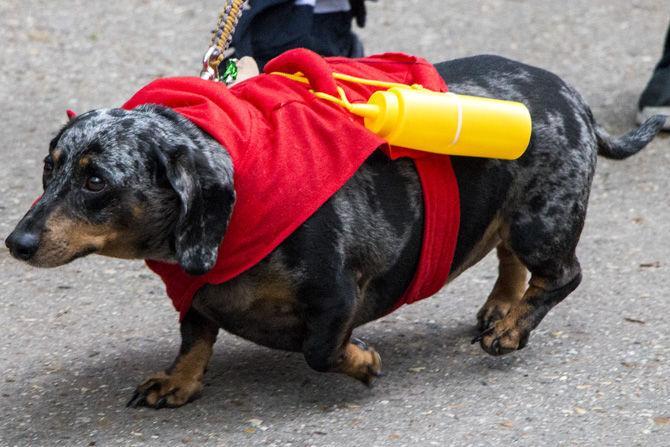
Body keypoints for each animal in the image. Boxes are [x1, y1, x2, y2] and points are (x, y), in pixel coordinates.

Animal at [5, 54, 668, 408]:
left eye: (96, 180)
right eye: (49, 166)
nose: (16, 243)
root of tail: (574, 98)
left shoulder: (335, 293)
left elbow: (319, 350)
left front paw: (364, 361)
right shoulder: (195, 295)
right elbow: (195, 337)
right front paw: (178, 382)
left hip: (542, 221)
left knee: (562, 274)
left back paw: (510, 330)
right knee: (509, 259)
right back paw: (502, 309)